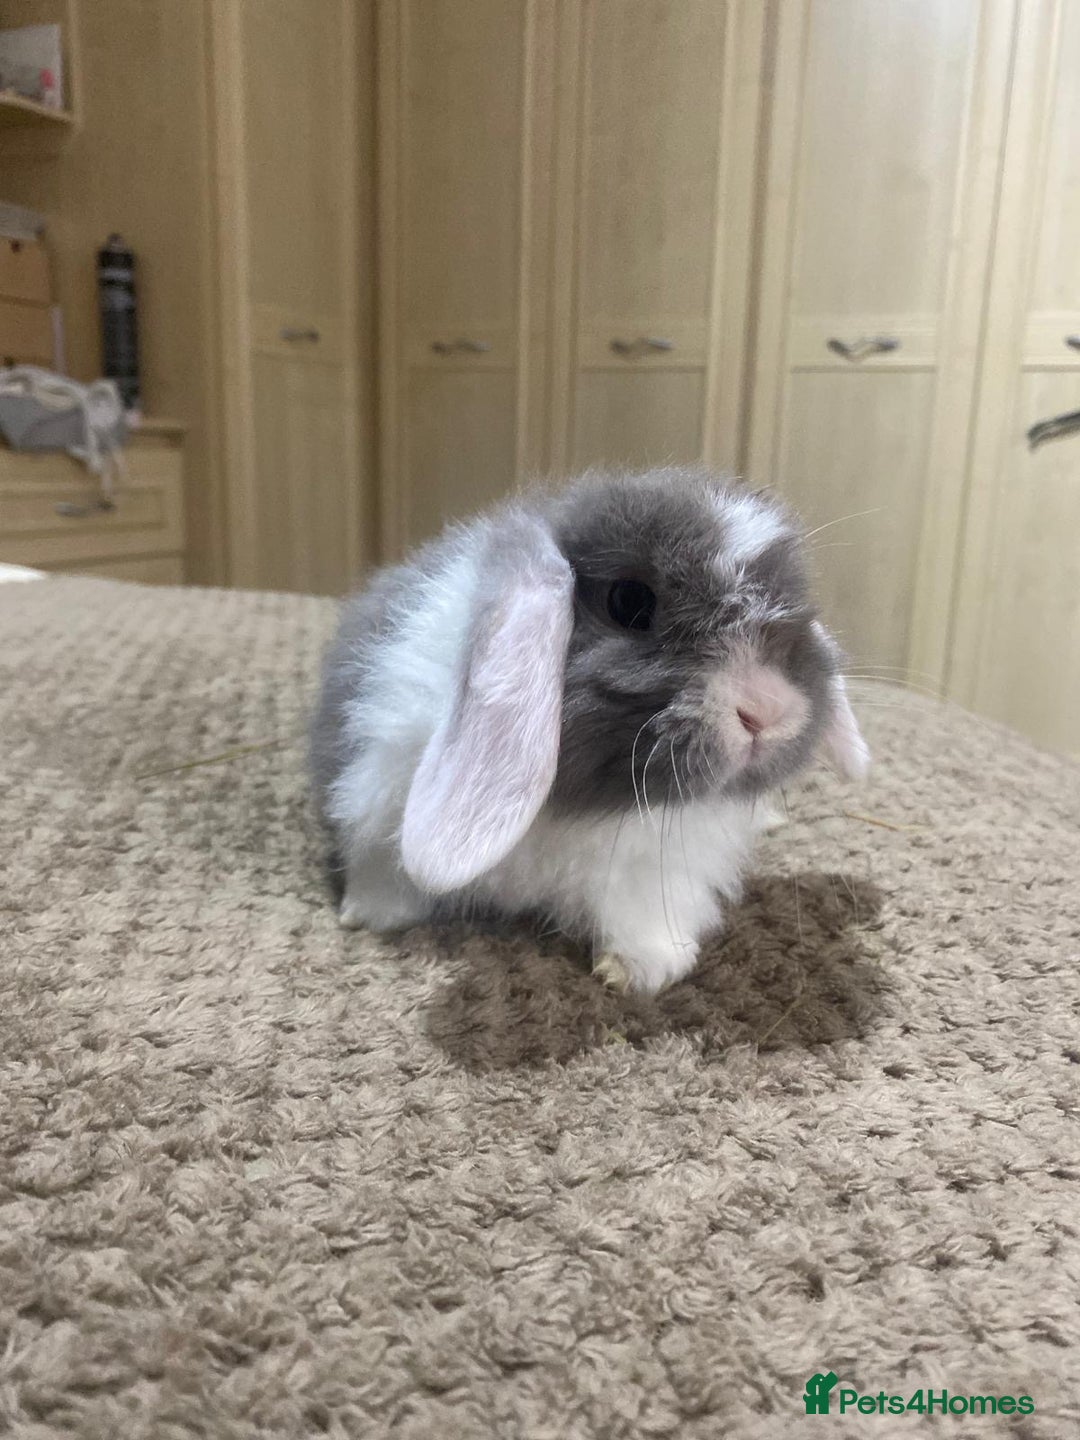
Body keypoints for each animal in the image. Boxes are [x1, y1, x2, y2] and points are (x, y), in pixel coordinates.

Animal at [310, 466, 869, 994]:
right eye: (631, 602)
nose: (767, 710)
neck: (568, 804)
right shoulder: (379, 784)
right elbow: (382, 868)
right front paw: (371, 916)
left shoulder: (655, 865)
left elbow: (642, 910)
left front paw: (643, 971)